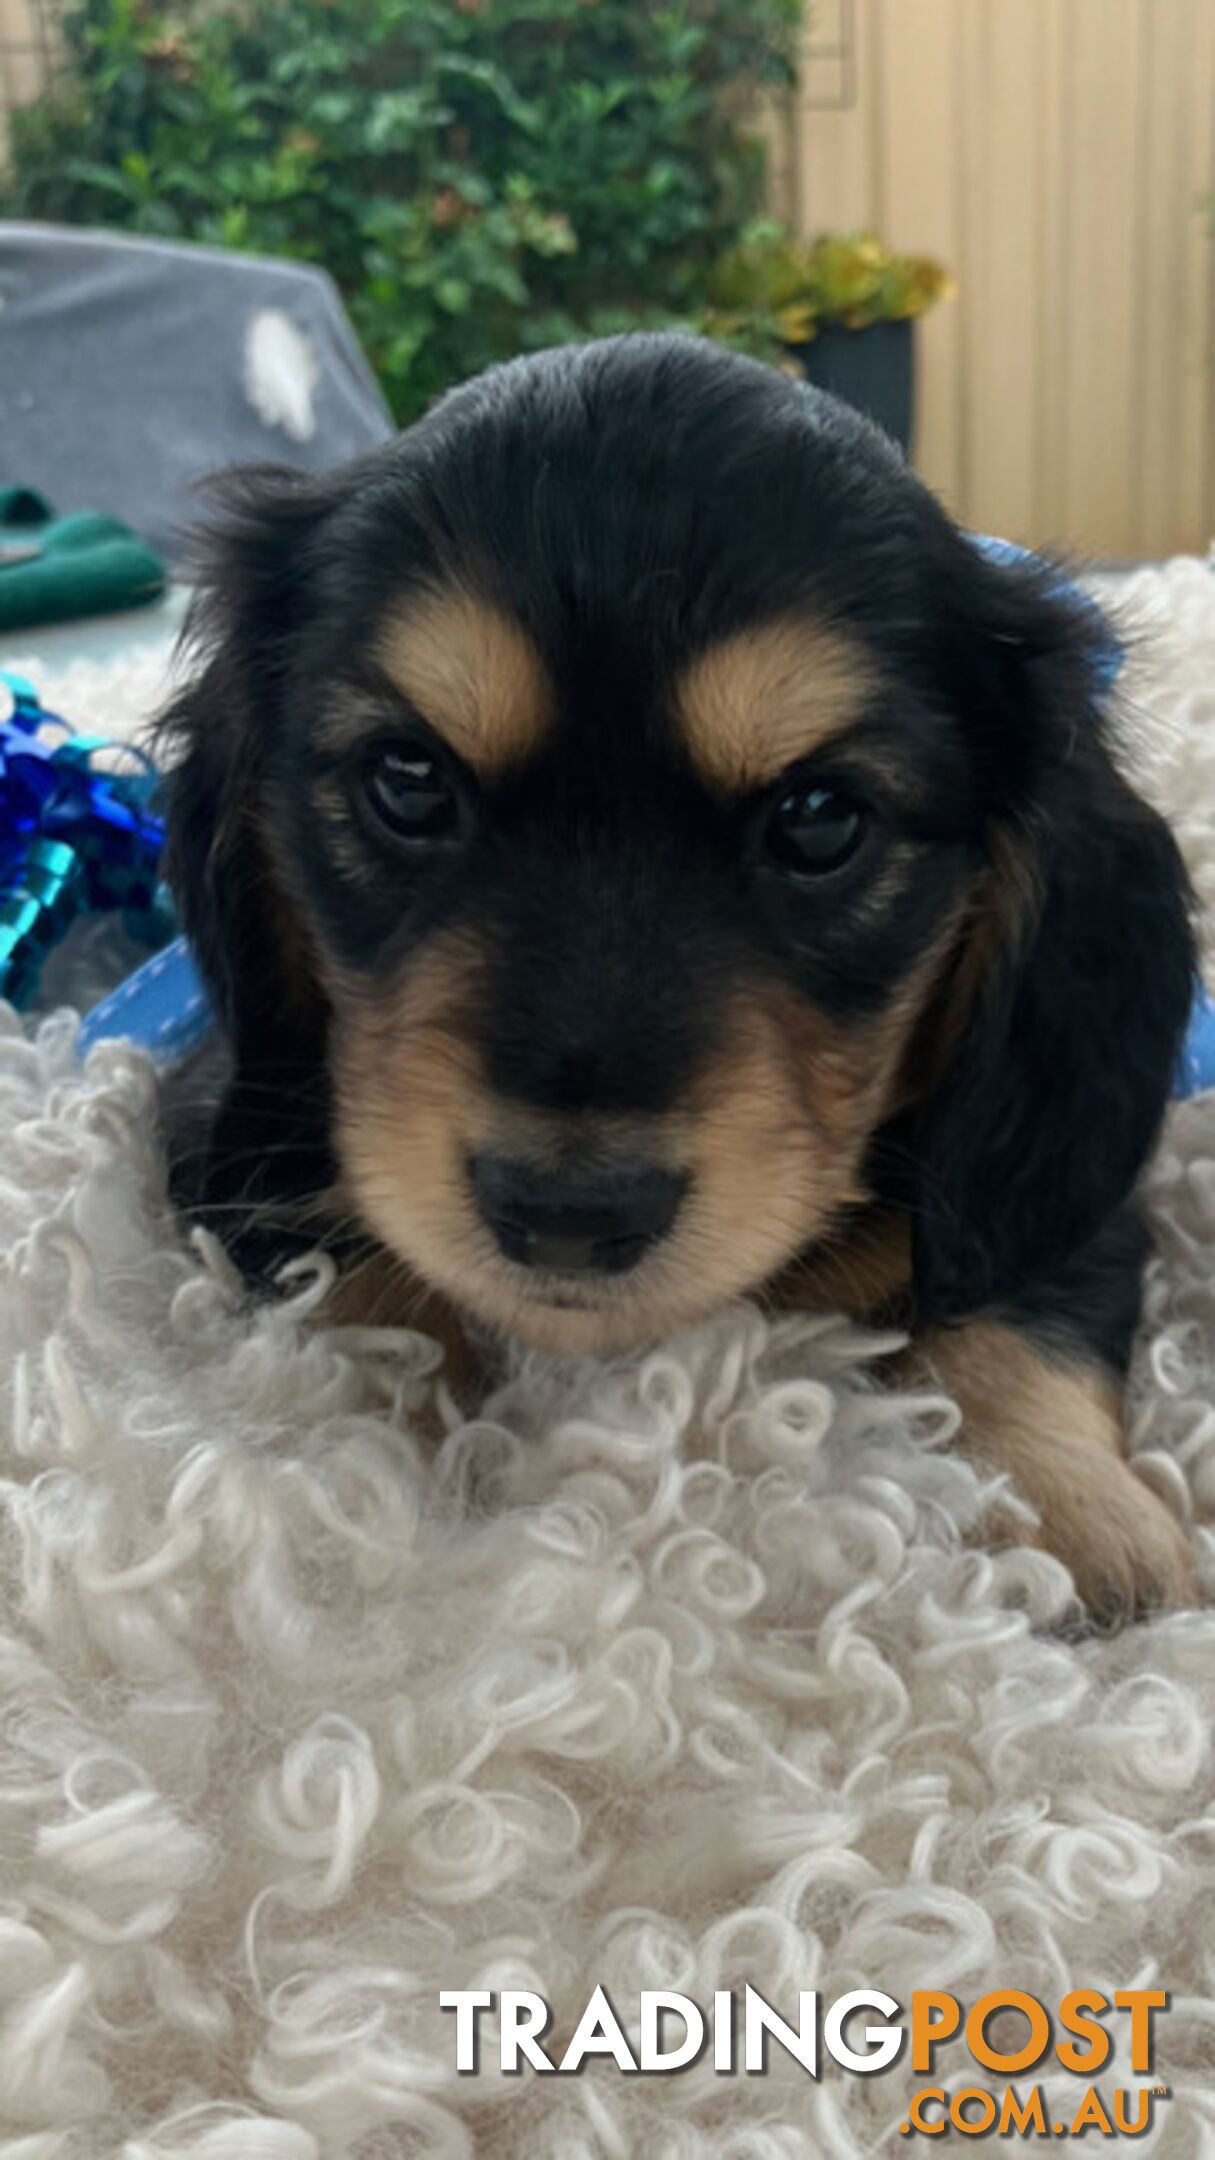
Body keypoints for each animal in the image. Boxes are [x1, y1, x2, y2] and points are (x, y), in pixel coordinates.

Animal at [158, 332, 1193, 1624]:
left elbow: (1016, 1301)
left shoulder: (1063, 1173)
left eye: (820, 817)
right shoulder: (232, 1119)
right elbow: (349, 1272)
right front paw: (361, 1482)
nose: (569, 1218)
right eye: (407, 777)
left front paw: (1067, 1510)